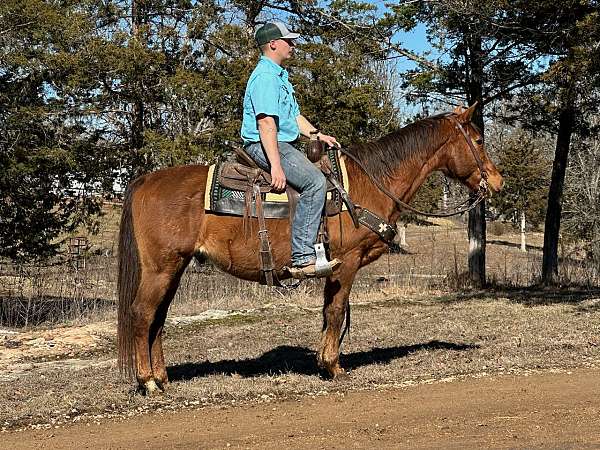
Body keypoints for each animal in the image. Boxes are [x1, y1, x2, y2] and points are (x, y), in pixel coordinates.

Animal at [116, 104, 502, 394]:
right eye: (478, 139)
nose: (497, 181)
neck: (367, 184)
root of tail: (145, 180)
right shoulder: (347, 263)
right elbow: (337, 311)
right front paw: (334, 367)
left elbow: (329, 313)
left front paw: (323, 362)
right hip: (161, 267)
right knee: (142, 314)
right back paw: (148, 382)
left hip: (175, 267)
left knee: (158, 319)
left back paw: (162, 378)